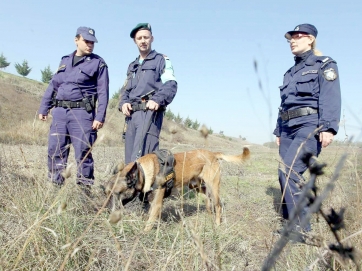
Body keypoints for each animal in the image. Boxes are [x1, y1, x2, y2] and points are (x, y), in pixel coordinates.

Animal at [104, 148, 249, 233]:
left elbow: (149, 223)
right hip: (196, 186)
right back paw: (209, 216)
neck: (143, 171)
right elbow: (149, 216)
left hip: (212, 187)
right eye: (105, 193)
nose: (104, 211)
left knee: (218, 205)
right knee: (209, 201)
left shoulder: (157, 204)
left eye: (115, 194)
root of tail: (213, 154)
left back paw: (218, 224)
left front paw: (142, 236)